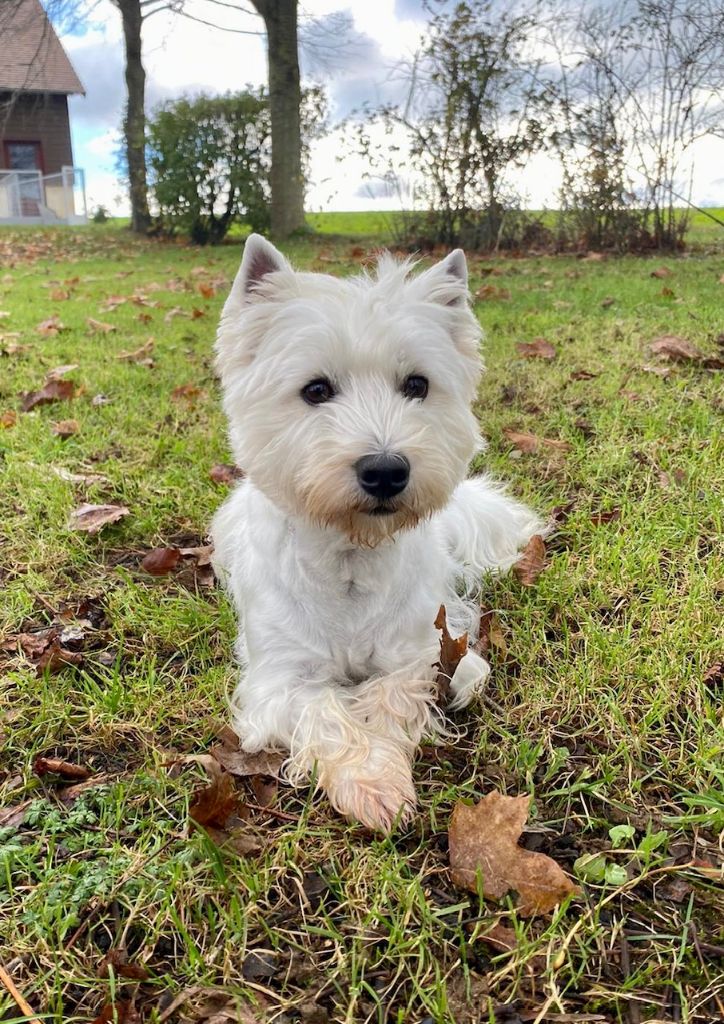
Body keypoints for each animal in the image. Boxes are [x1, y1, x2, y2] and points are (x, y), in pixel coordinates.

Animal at [211, 234, 540, 831]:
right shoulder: (280, 678)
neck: (351, 559)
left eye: (417, 384)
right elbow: (324, 712)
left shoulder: (431, 649)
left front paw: (384, 765)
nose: (386, 471)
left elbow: (394, 696)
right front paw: (369, 781)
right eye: (316, 389)